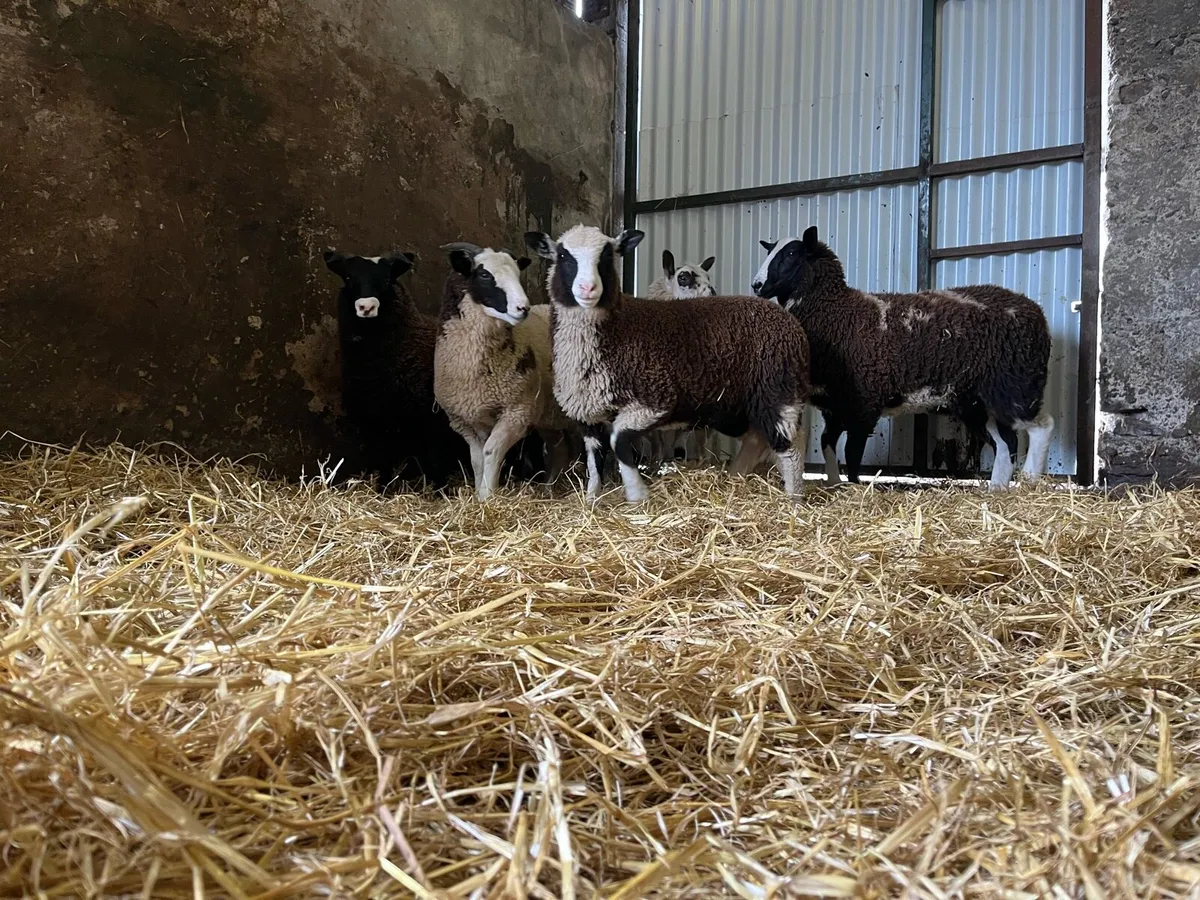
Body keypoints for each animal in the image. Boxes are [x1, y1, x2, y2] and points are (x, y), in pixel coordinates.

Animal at [323, 251, 468, 491]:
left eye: (387, 279)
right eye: (349, 278)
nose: (366, 307)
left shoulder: (431, 418)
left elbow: (435, 460)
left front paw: (440, 492)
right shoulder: (375, 419)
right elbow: (383, 461)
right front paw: (382, 490)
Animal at [433, 242, 577, 501]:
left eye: (518, 274)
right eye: (484, 275)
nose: (523, 308)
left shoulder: (517, 411)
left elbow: (491, 451)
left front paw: (487, 496)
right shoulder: (468, 419)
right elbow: (476, 458)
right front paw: (478, 495)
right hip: (549, 415)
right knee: (558, 448)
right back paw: (549, 490)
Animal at [524, 224, 811, 504]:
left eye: (607, 256)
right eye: (563, 255)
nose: (587, 289)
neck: (618, 328)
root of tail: (788, 320)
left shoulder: (655, 398)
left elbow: (618, 441)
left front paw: (636, 493)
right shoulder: (588, 412)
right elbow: (594, 459)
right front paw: (592, 499)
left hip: (778, 390)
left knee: (792, 445)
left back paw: (793, 498)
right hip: (736, 405)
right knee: (757, 438)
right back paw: (736, 477)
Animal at [750, 226, 1054, 490]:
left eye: (792, 254)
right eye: (771, 251)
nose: (756, 285)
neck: (838, 311)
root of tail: (1035, 311)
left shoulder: (864, 402)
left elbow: (852, 453)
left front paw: (856, 488)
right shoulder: (835, 403)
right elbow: (828, 444)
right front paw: (835, 484)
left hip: (1016, 386)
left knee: (1041, 427)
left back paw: (1029, 482)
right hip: (979, 401)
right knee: (1006, 443)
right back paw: (997, 491)